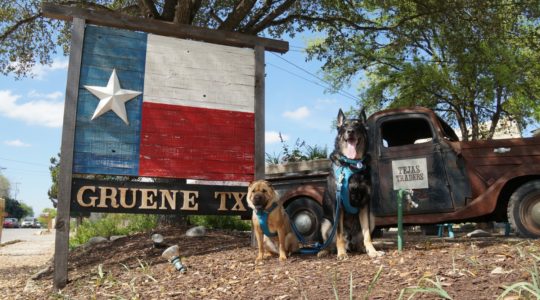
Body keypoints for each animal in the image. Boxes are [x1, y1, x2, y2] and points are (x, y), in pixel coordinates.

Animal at [316, 109, 384, 258]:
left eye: (358, 125)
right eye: (344, 125)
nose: (350, 131)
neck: (352, 164)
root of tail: (350, 242)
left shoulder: (364, 205)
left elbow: (367, 235)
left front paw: (372, 251)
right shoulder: (338, 206)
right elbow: (339, 234)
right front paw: (341, 253)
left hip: (372, 217)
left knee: (359, 240)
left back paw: (362, 248)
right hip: (325, 222)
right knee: (330, 242)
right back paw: (325, 251)